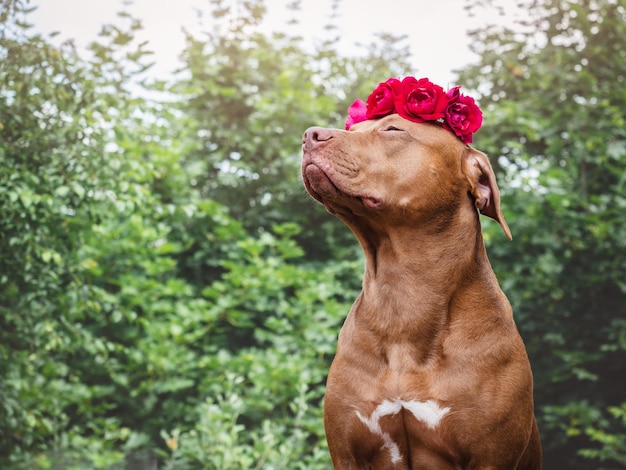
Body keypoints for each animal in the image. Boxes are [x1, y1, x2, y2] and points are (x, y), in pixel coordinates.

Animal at [300, 114, 540, 470]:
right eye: (353, 129)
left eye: (392, 129)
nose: (308, 135)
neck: (402, 297)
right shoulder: (346, 453)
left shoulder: (491, 457)